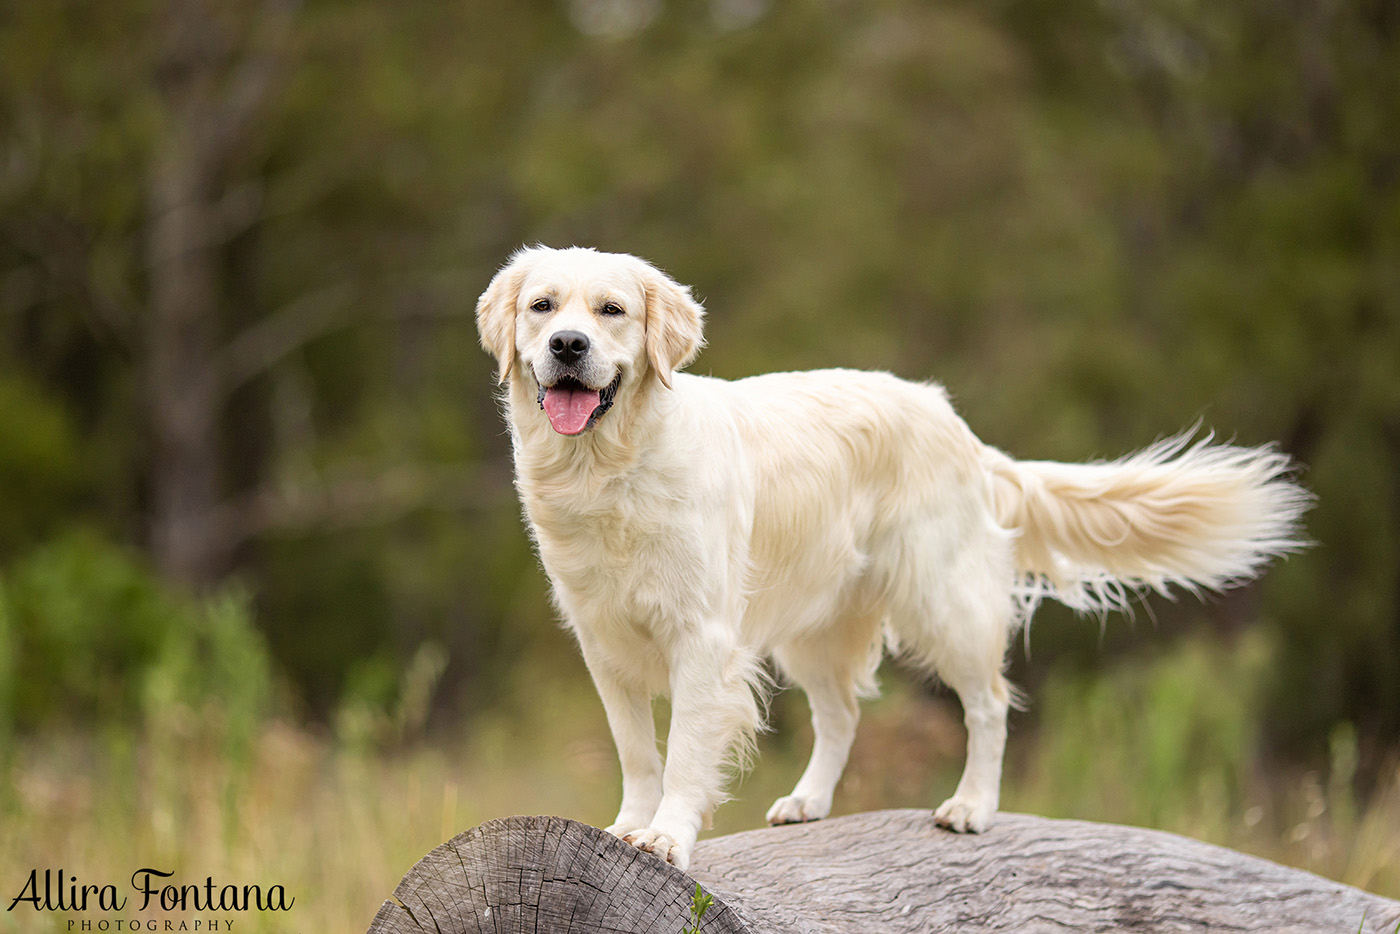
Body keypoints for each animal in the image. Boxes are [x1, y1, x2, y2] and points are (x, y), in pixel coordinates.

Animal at [478, 246, 1310, 868]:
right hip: (813, 627)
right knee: (843, 713)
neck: (612, 471)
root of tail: (958, 426)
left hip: (943, 604)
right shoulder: (604, 643)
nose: (568, 347)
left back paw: (971, 806)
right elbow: (638, 752)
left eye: (611, 311)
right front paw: (629, 823)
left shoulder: (702, 639)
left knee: (990, 704)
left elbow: (683, 751)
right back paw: (809, 801)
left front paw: (667, 837)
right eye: (543, 307)